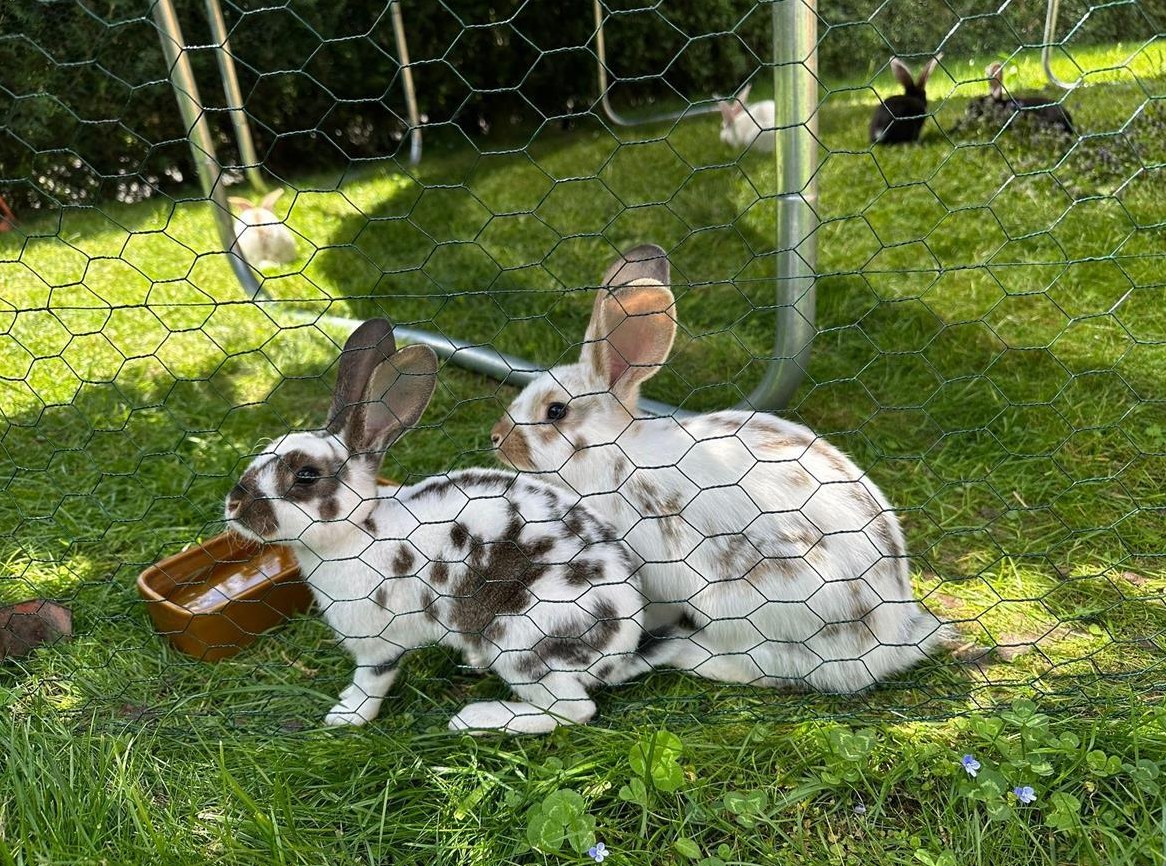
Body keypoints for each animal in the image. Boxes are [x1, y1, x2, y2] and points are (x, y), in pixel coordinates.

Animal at [225, 318, 648, 734]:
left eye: (307, 476)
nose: (233, 504)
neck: (358, 533)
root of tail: (622, 651)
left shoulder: (379, 645)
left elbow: (370, 683)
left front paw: (346, 716)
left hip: (522, 643)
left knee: (573, 710)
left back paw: (477, 718)